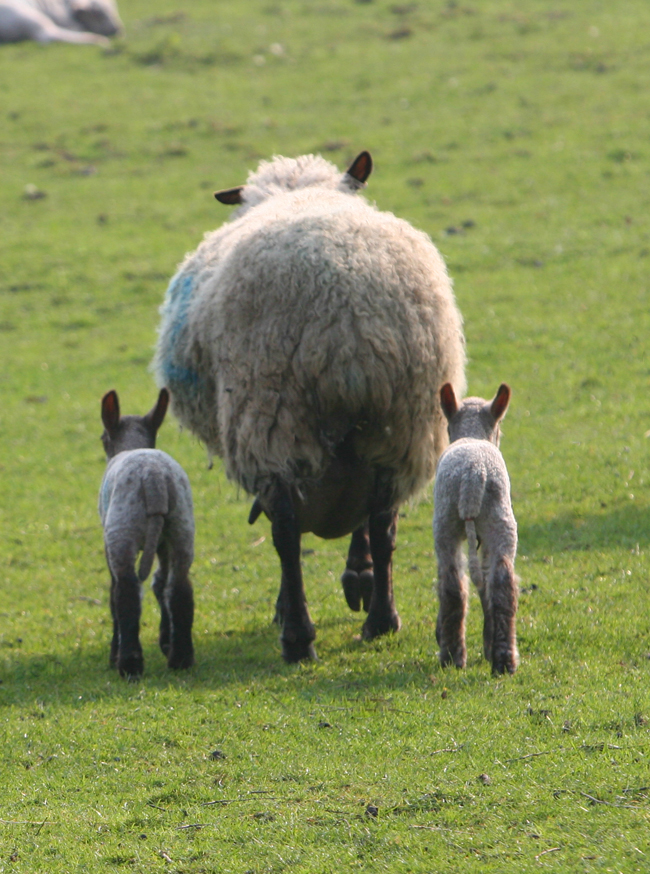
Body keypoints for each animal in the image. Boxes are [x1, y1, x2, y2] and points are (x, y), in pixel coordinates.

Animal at [99, 388, 194, 678]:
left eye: (103, 438)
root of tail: (154, 479)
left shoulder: (108, 542)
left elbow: (114, 593)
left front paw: (114, 653)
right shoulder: (161, 544)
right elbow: (160, 583)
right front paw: (165, 640)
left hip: (121, 529)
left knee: (126, 592)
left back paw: (128, 664)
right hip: (181, 527)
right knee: (179, 589)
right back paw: (181, 658)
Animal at [154, 150, 466, 662]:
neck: (299, 190)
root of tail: (351, 322)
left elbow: (290, 528)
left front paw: (292, 606)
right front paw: (359, 578)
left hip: (273, 415)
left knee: (284, 530)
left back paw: (298, 635)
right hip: (400, 423)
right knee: (383, 523)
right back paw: (382, 618)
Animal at [433, 382, 519, 675]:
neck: (471, 434)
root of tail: (474, 473)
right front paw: (488, 643)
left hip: (447, 524)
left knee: (452, 585)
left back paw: (452, 656)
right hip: (498, 521)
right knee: (500, 583)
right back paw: (503, 659)